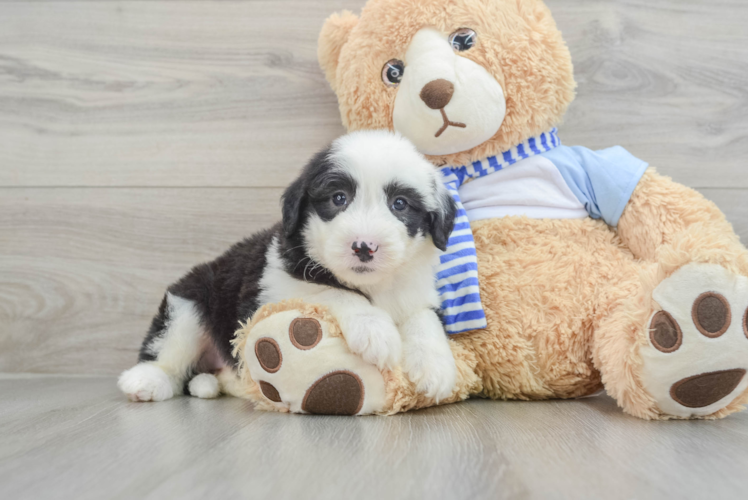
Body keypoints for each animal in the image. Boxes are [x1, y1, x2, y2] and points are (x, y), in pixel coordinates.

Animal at [117, 130, 458, 402]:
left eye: (400, 204)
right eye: (338, 198)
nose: (364, 246)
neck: (373, 285)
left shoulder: (418, 292)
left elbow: (423, 319)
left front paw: (436, 367)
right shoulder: (276, 286)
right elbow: (331, 292)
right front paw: (375, 330)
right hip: (190, 301)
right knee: (168, 348)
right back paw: (146, 380)